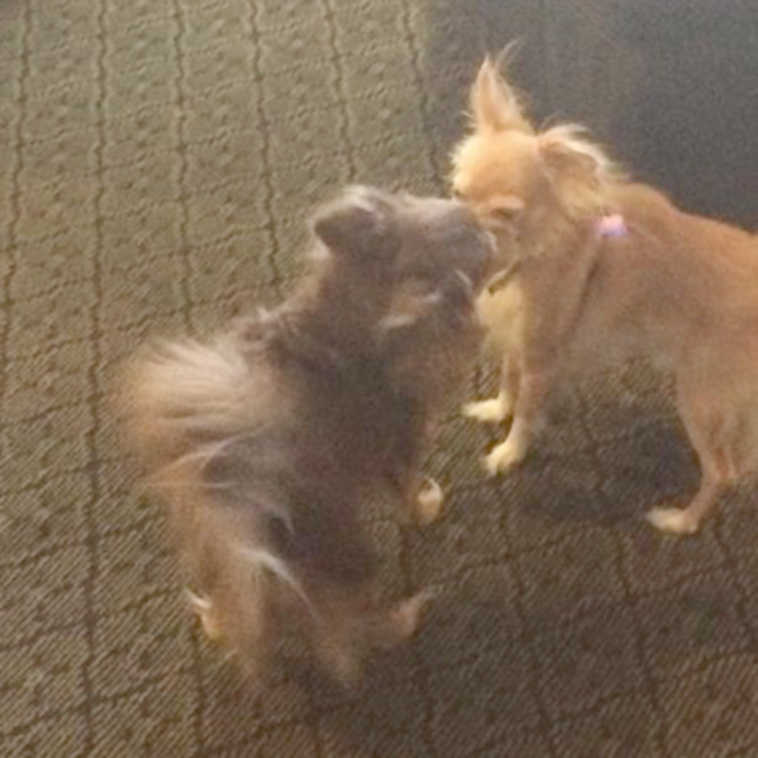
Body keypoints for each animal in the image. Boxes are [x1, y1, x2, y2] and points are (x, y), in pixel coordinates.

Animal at [452, 56, 758, 536]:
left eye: (505, 213)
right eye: (457, 193)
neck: (526, 260)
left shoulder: (542, 359)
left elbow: (526, 411)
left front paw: (509, 452)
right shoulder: (520, 340)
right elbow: (507, 379)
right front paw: (494, 409)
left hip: (699, 398)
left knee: (722, 472)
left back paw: (678, 521)